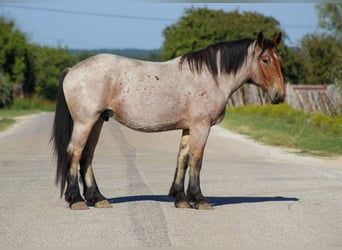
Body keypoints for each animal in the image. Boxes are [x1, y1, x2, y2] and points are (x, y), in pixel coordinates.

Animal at [52, 31, 284, 211]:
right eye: (265, 59)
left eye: (279, 58)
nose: (279, 95)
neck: (210, 77)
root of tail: (72, 70)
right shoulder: (201, 127)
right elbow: (196, 160)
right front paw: (199, 200)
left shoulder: (189, 128)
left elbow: (182, 159)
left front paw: (180, 198)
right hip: (85, 122)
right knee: (74, 153)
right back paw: (77, 200)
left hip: (98, 122)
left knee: (87, 156)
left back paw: (98, 198)